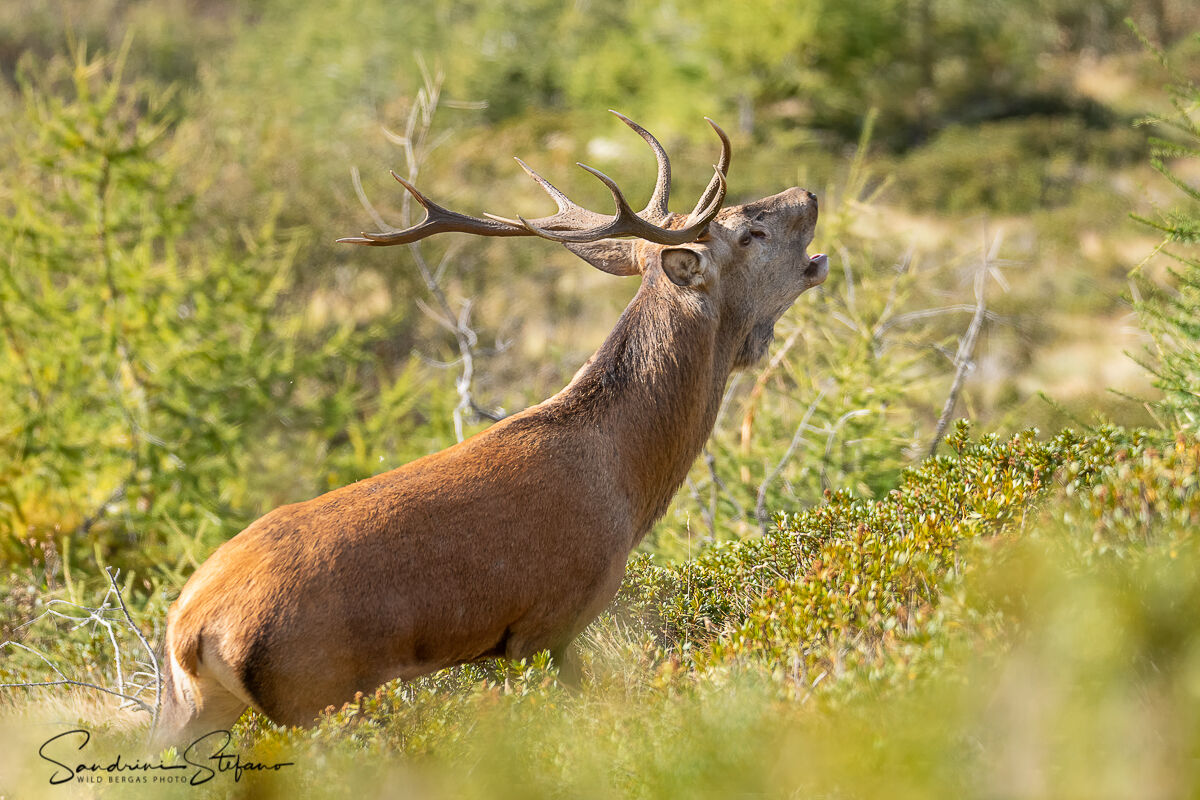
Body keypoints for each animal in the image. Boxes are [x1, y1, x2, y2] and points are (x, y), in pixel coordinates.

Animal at [153, 111, 826, 748]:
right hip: (316, 695)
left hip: (191, 709)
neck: (627, 480)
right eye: (750, 232)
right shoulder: (552, 618)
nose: (809, 193)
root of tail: (189, 629)